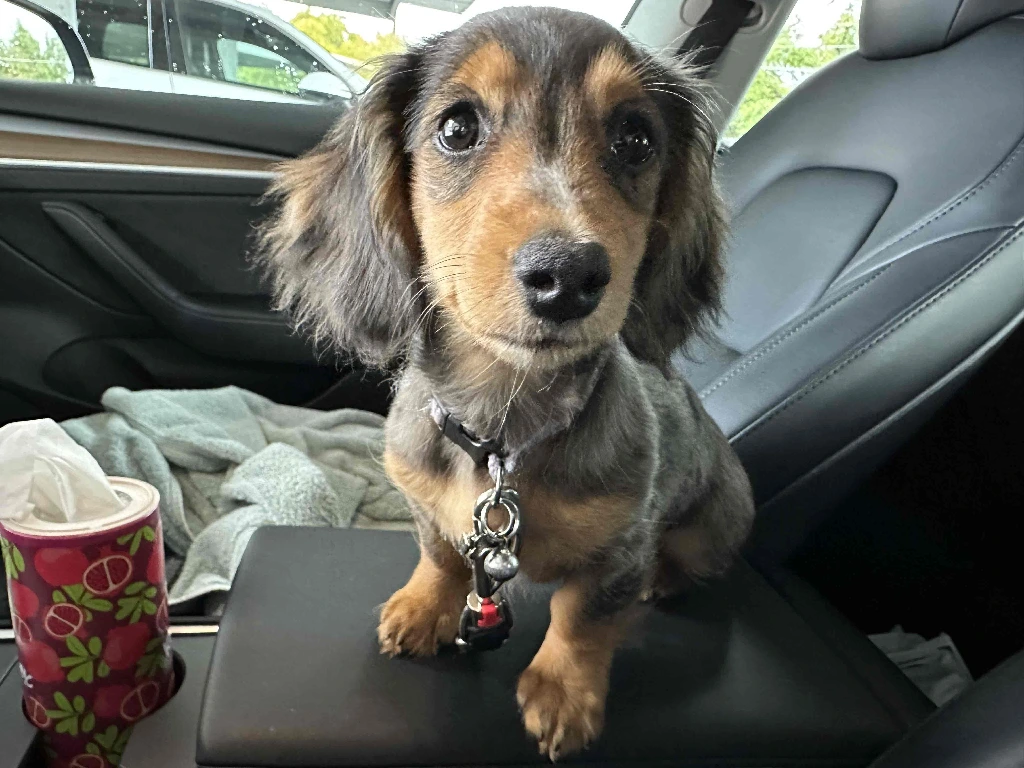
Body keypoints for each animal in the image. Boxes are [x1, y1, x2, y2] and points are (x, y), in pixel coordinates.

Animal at [256, 7, 753, 765]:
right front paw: (423, 608)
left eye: (636, 140)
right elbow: (439, 555)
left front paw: (563, 693)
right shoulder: (426, 502)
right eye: (457, 127)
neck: (501, 431)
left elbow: (582, 618)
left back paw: (664, 581)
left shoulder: (622, 545)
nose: (568, 275)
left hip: (712, 527)